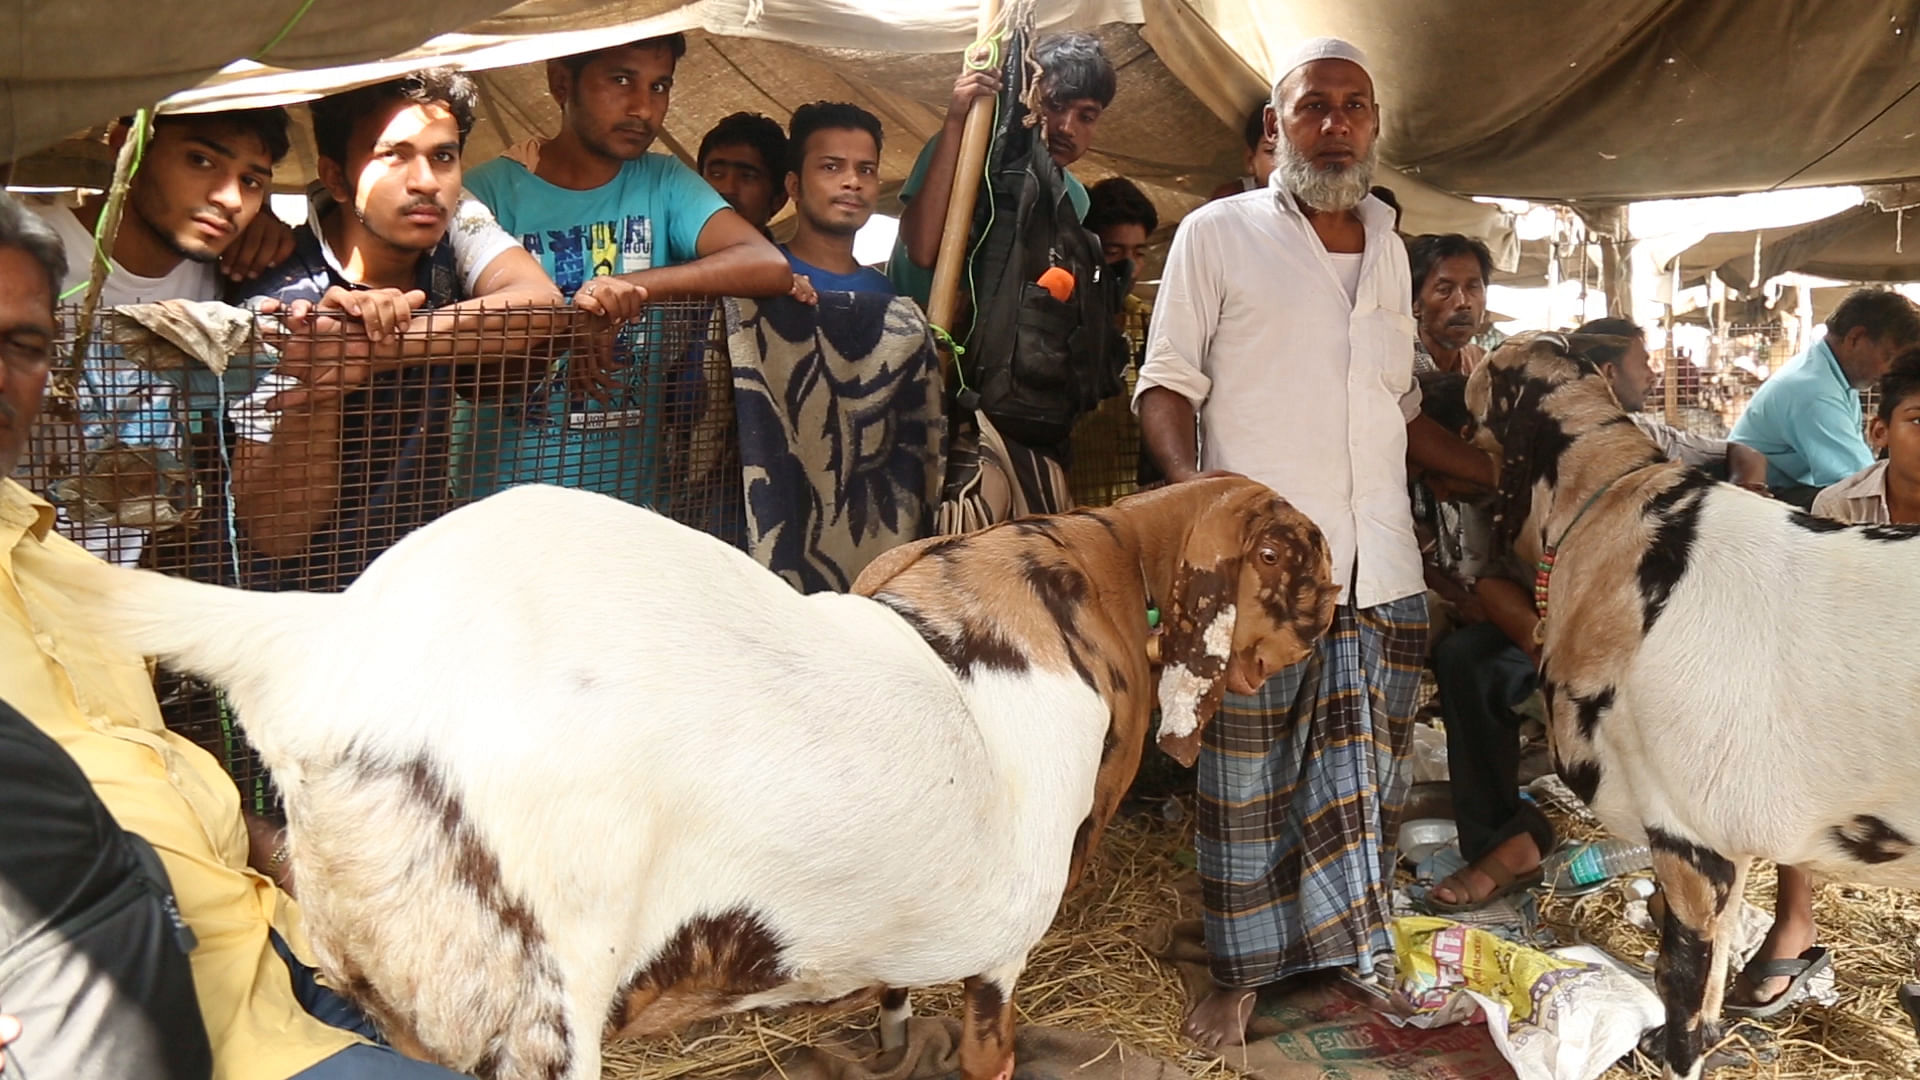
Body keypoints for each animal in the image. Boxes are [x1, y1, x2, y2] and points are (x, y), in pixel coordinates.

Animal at [71, 474, 1336, 1076]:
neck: (1094, 568)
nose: (1349, 593)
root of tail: (325, 648)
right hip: (533, 1010)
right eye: (1304, 554)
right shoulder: (1002, 958)